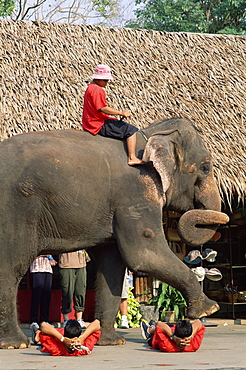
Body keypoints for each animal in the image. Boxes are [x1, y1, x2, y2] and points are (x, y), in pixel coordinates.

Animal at [0, 118, 229, 350]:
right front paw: (209, 309)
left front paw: (112, 342)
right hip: (14, 208)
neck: (153, 133)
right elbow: (144, 254)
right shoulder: (136, 194)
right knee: (12, 266)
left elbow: (112, 266)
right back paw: (15, 344)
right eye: (206, 167)